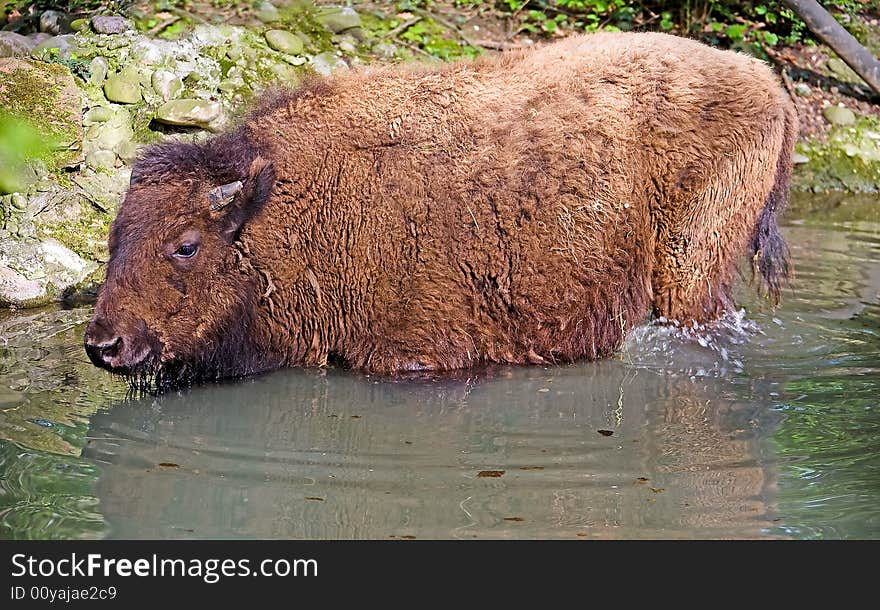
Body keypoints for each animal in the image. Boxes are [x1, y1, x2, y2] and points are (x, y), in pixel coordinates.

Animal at [82, 32, 796, 384]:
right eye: (113, 240)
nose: (104, 344)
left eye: (186, 244)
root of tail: (769, 84)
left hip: (689, 270)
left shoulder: (421, 353)